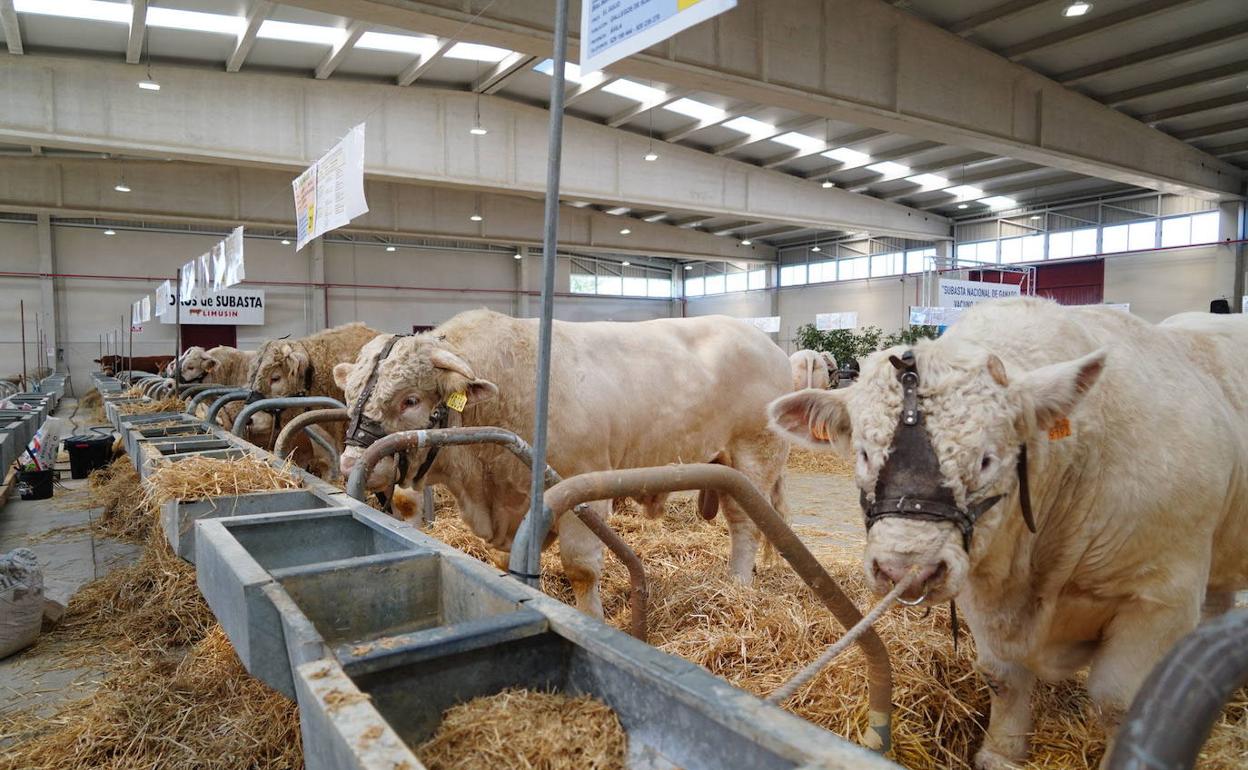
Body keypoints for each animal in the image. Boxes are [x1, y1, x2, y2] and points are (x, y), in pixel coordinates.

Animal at [768, 297, 1248, 763]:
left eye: (986, 459)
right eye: (865, 454)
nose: (904, 568)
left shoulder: (1162, 597)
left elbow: (1118, 703)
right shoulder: (980, 590)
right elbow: (1002, 677)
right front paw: (1001, 753)